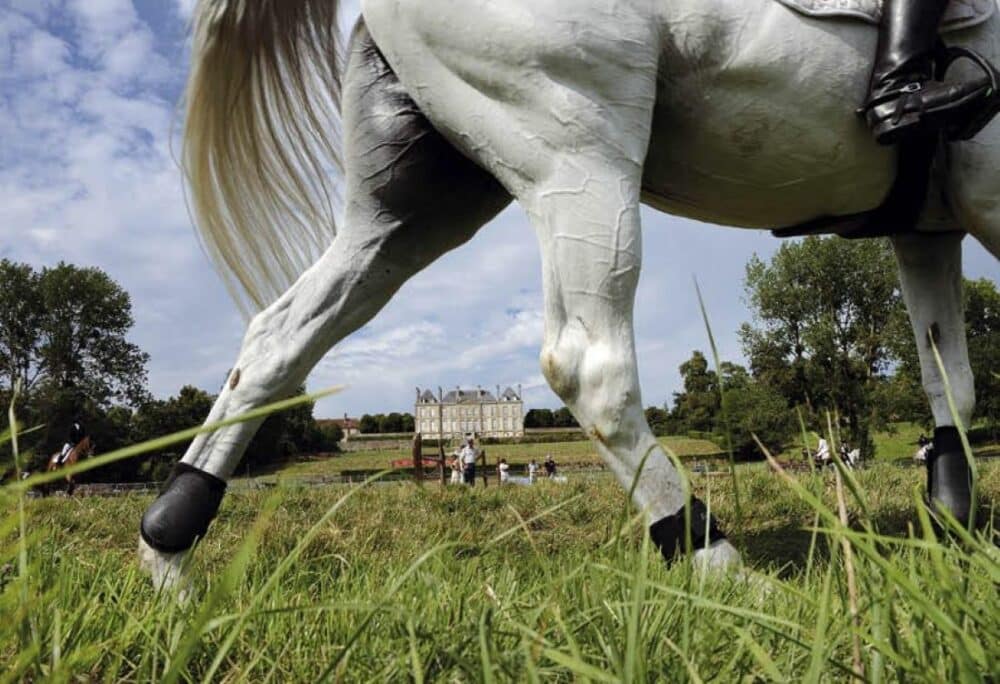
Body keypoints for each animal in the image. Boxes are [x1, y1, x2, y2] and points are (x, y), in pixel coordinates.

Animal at [137, 1, 996, 588]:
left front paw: (952, 533)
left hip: (415, 204)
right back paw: (720, 564)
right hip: (578, 153)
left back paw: (169, 556)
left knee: (279, 337)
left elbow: (948, 382)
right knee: (588, 364)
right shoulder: (984, 199)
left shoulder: (929, 224)